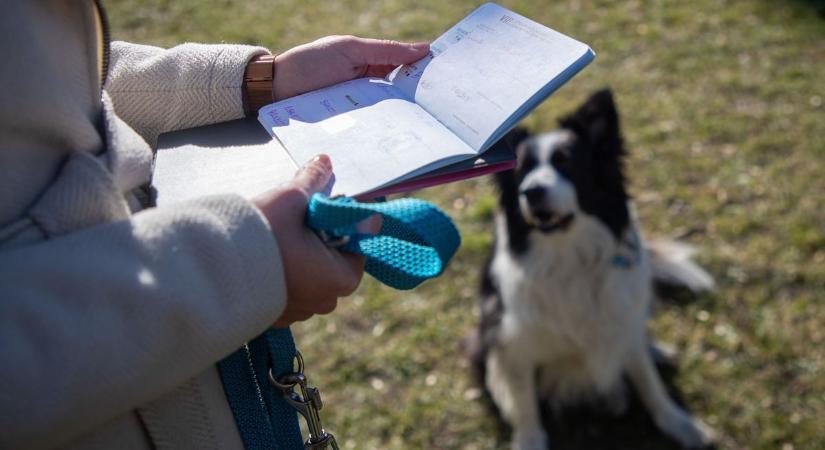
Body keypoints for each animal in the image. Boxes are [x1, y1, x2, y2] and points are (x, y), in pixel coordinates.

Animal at [470, 89, 716, 448]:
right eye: (521, 172)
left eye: (567, 162)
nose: (531, 191)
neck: (571, 259)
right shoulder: (512, 341)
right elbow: (524, 402)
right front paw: (530, 439)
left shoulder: (622, 320)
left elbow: (650, 384)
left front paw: (679, 424)